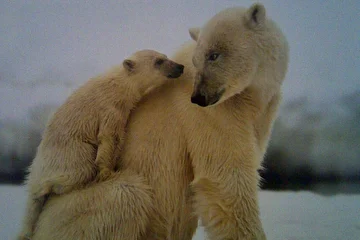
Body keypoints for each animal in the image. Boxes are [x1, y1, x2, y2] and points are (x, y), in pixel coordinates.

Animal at [17, 49, 184, 239]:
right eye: (158, 61)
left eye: (165, 56)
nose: (180, 67)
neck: (119, 83)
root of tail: (34, 175)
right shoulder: (110, 108)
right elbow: (109, 137)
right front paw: (107, 173)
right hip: (69, 153)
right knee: (77, 170)